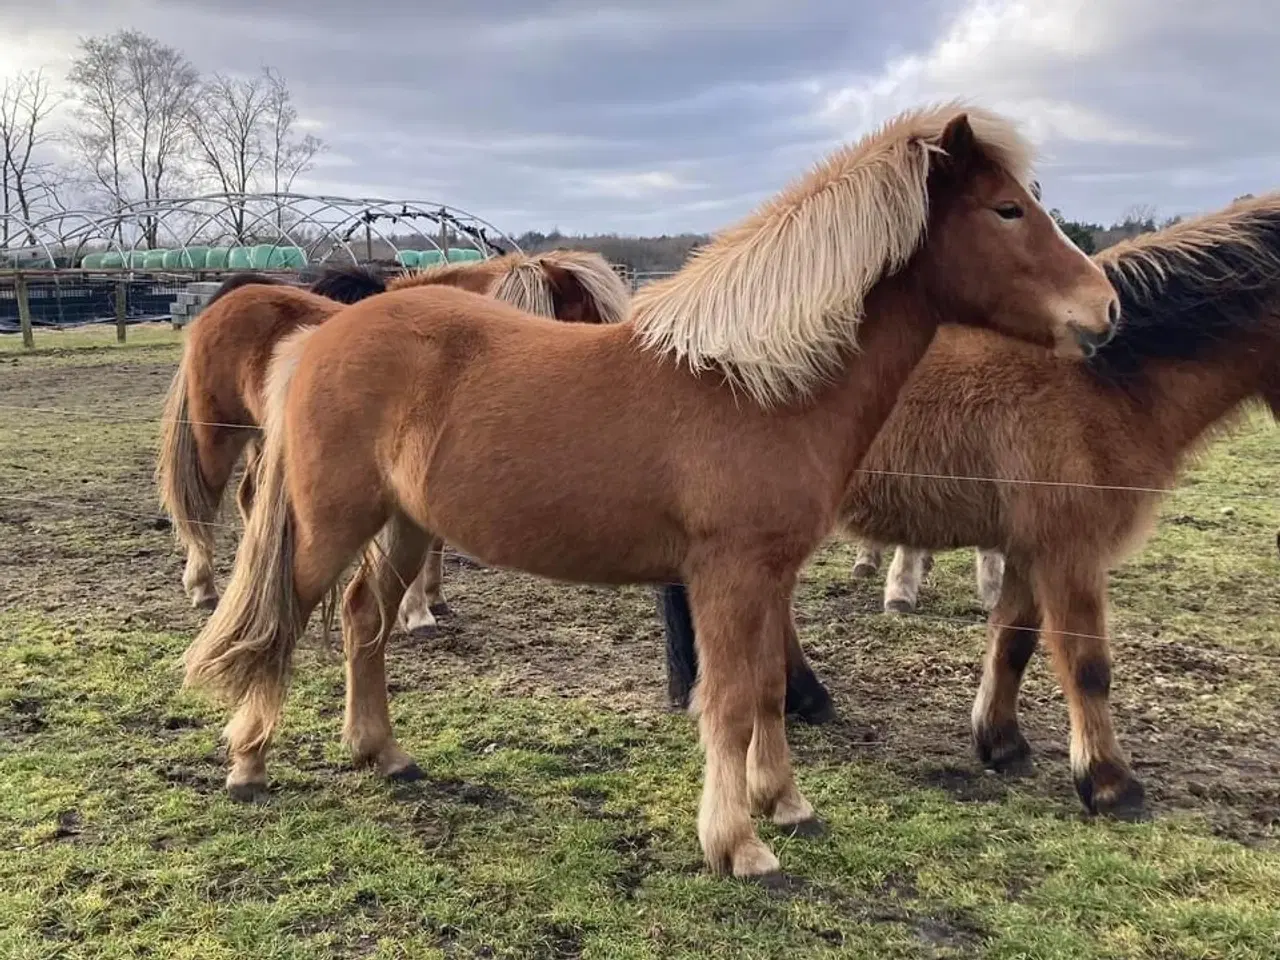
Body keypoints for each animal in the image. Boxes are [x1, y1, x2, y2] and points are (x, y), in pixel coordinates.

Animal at [154, 248, 629, 611]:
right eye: (587, 321)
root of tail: (231, 298)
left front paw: (431, 600)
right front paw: (415, 610)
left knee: (249, 497)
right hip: (216, 434)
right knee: (201, 503)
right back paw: (204, 587)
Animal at [665, 192, 1280, 824]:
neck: (1105, 381)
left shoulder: (1031, 548)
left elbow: (1012, 640)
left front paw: (1001, 742)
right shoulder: (1071, 552)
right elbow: (1088, 666)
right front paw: (1110, 783)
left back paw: (805, 698)